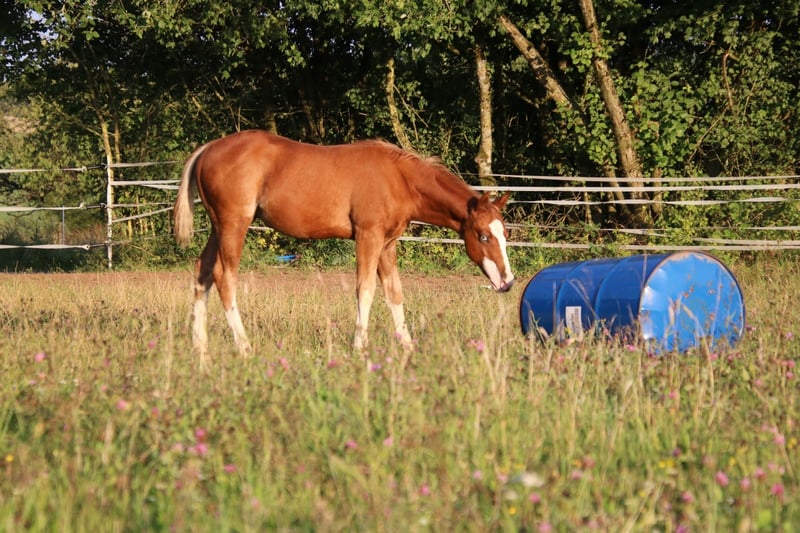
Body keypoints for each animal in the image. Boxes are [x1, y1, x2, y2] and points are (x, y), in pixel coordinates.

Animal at [173, 130, 514, 361]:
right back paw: (244, 347)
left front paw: (407, 347)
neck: (399, 178)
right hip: (234, 225)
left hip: (218, 228)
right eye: (483, 236)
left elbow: (394, 293)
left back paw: (200, 348)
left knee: (202, 273)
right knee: (224, 276)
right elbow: (365, 290)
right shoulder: (368, 237)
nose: (508, 283)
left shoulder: (387, 245)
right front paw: (359, 348)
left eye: (505, 233)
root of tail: (208, 149)